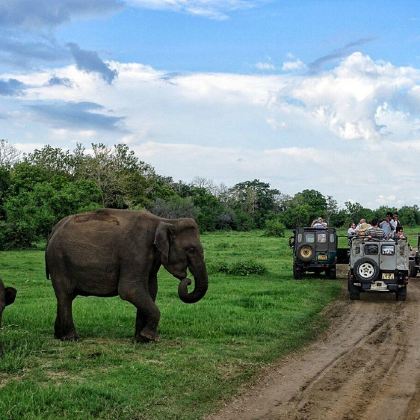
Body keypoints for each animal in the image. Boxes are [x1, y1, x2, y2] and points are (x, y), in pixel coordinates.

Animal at [45, 208, 209, 342]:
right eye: (191, 249)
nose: (187, 280)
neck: (165, 221)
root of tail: (53, 230)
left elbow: (151, 289)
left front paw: (141, 340)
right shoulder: (136, 251)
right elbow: (130, 290)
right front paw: (151, 337)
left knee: (66, 297)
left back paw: (59, 336)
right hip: (58, 261)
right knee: (65, 294)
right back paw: (71, 338)